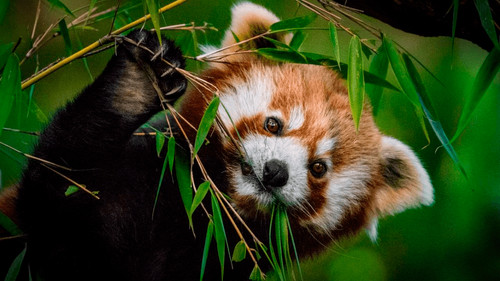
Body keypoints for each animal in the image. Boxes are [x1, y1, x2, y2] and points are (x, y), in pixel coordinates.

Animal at [0, 2, 432, 280]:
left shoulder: (219, 262)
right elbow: (54, 188)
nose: (275, 172)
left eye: (318, 168)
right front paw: (135, 84)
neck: (199, 213)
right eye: (274, 124)